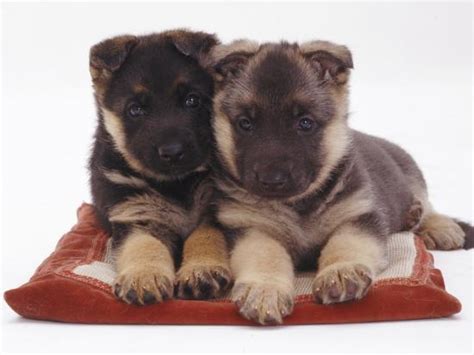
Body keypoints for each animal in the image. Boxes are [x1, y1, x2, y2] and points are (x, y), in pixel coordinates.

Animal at [89, 30, 231, 306]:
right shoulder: (134, 215)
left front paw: (201, 270)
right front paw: (144, 276)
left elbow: (206, 237)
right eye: (135, 109)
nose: (173, 152)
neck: (177, 185)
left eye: (192, 100)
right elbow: (143, 246)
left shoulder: (214, 210)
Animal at [207, 39, 470, 326]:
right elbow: (265, 255)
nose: (271, 180)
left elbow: (345, 244)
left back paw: (437, 225)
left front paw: (341, 271)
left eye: (305, 123)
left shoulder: (359, 217)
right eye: (245, 124)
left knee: (427, 203)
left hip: (411, 174)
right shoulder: (250, 228)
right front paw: (265, 289)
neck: (299, 206)